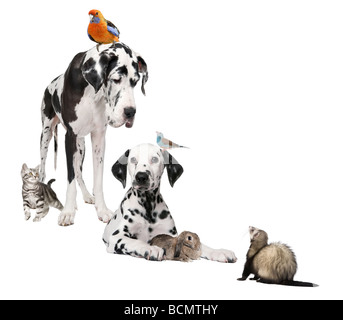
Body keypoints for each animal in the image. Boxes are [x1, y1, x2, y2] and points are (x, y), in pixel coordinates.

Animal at [102, 143, 236, 262]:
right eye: (133, 159)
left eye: (155, 159)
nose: (141, 176)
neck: (148, 204)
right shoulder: (117, 237)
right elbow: (134, 241)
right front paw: (150, 248)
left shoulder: (172, 236)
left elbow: (202, 246)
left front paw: (219, 252)